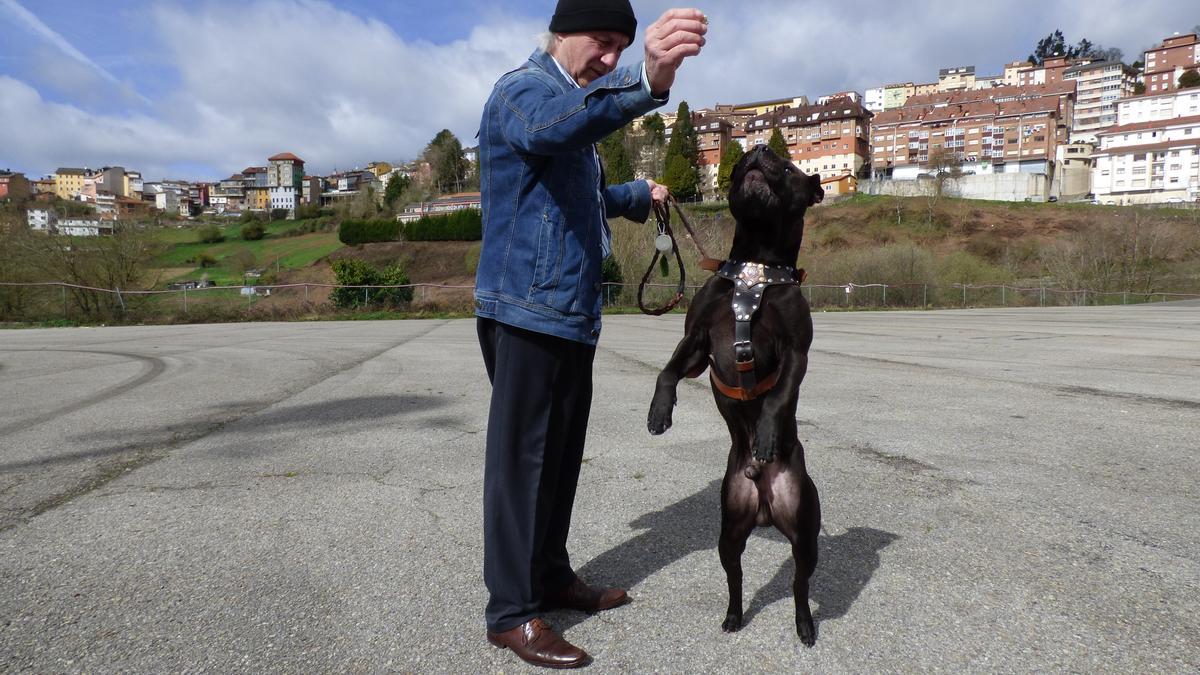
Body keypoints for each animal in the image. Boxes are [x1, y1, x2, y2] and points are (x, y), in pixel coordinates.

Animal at [648, 145, 825, 638]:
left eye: (788, 167)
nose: (759, 149)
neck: (755, 271)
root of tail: (763, 502)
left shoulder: (796, 352)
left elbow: (778, 397)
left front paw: (764, 434)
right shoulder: (696, 341)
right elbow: (667, 372)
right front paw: (659, 413)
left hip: (804, 534)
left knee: (800, 584)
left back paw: (805, 626)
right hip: (729, 531)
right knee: (736, 576)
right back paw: (732, 616)